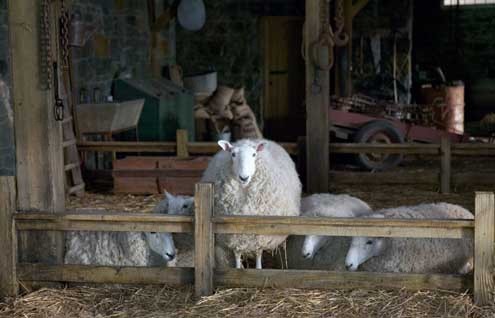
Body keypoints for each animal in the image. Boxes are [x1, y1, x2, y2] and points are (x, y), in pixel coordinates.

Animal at [202, 139, 302, 268]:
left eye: (254, 154)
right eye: (233, 154)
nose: (244, 177)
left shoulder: (259, 235)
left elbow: (258, 254)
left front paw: (258, 268)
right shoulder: (234, 236)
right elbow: (237, 255)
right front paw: (237, 268)